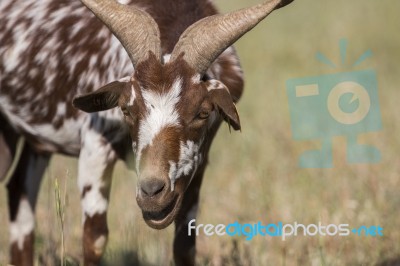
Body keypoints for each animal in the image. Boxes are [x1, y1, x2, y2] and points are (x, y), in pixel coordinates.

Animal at [0, 0, 294, 264]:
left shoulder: (198, 165)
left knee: (19, 194)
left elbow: (185, 247)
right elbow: (94, 240)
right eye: (127, 109)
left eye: (202, 112)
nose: (152, 192)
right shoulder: (95, 148)